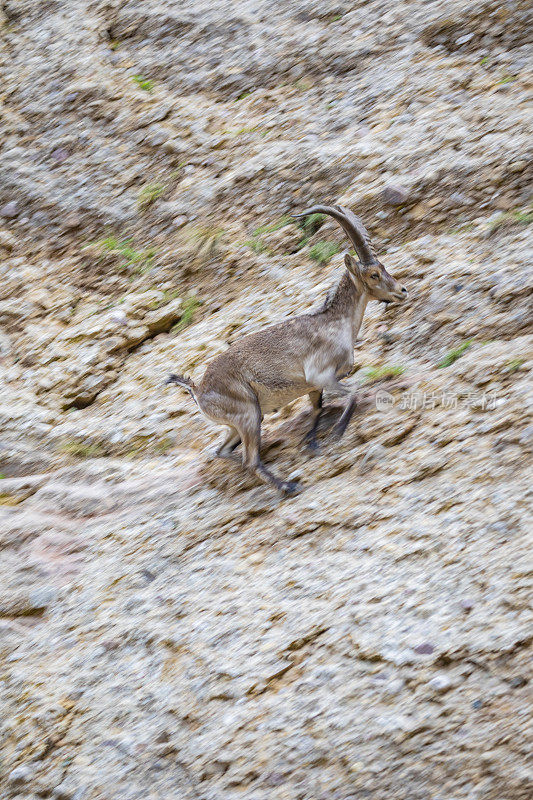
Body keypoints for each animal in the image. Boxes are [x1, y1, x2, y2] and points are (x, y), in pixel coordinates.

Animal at [166, 205, 408, 494]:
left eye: (383, 268)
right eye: (373, 274)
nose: (402, 290)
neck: (336, 323)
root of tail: (198, 390)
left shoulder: (314, 387)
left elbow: (317, 409)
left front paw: (311, 441)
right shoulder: (321, 375)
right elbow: (353, 392)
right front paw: (337, 432)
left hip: (243, 421)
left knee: (222, 451)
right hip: (248, 414)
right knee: (249, 461)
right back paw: (287, 486)